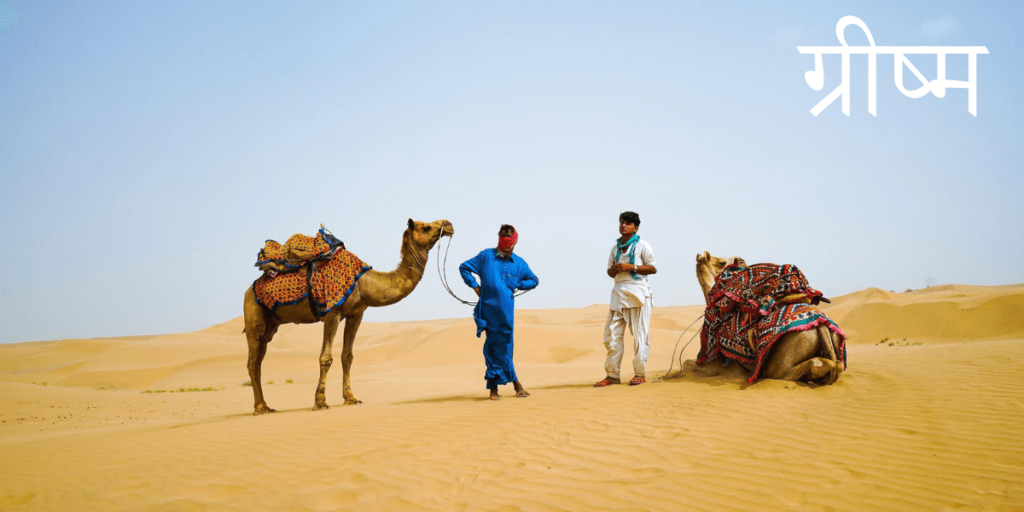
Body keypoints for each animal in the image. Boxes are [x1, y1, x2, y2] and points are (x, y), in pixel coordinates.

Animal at [243, 218, 452, 413]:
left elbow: (347, 356)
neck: (364, 284)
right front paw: (320, 402)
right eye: (425, 227)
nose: (449, 224)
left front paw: (351, 398)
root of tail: (248, 290)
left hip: (271, 326)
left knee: (259, 361)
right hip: (253, 313)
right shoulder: (332, 312)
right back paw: (260, 408)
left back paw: (265, 406)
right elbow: (326, 357)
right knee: (253, 362)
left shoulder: (356, 314)